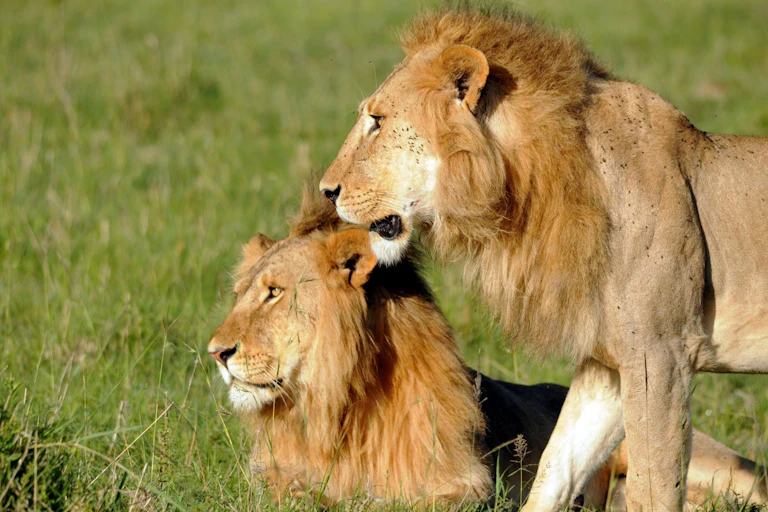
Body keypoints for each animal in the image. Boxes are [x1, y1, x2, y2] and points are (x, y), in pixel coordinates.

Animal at [208, 193, 767, 508]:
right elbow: (285, 491)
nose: (216, 352)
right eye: (239, 294)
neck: (333, 407)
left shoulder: (468, 487)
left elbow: (389, 503)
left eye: (274, 293)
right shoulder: (272, 474)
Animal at [318, 7, 768, 511]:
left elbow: (654, 486)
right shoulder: (608, 363)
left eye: (378, 120)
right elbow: (557, 466)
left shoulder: (662, 351)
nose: (326, 190)